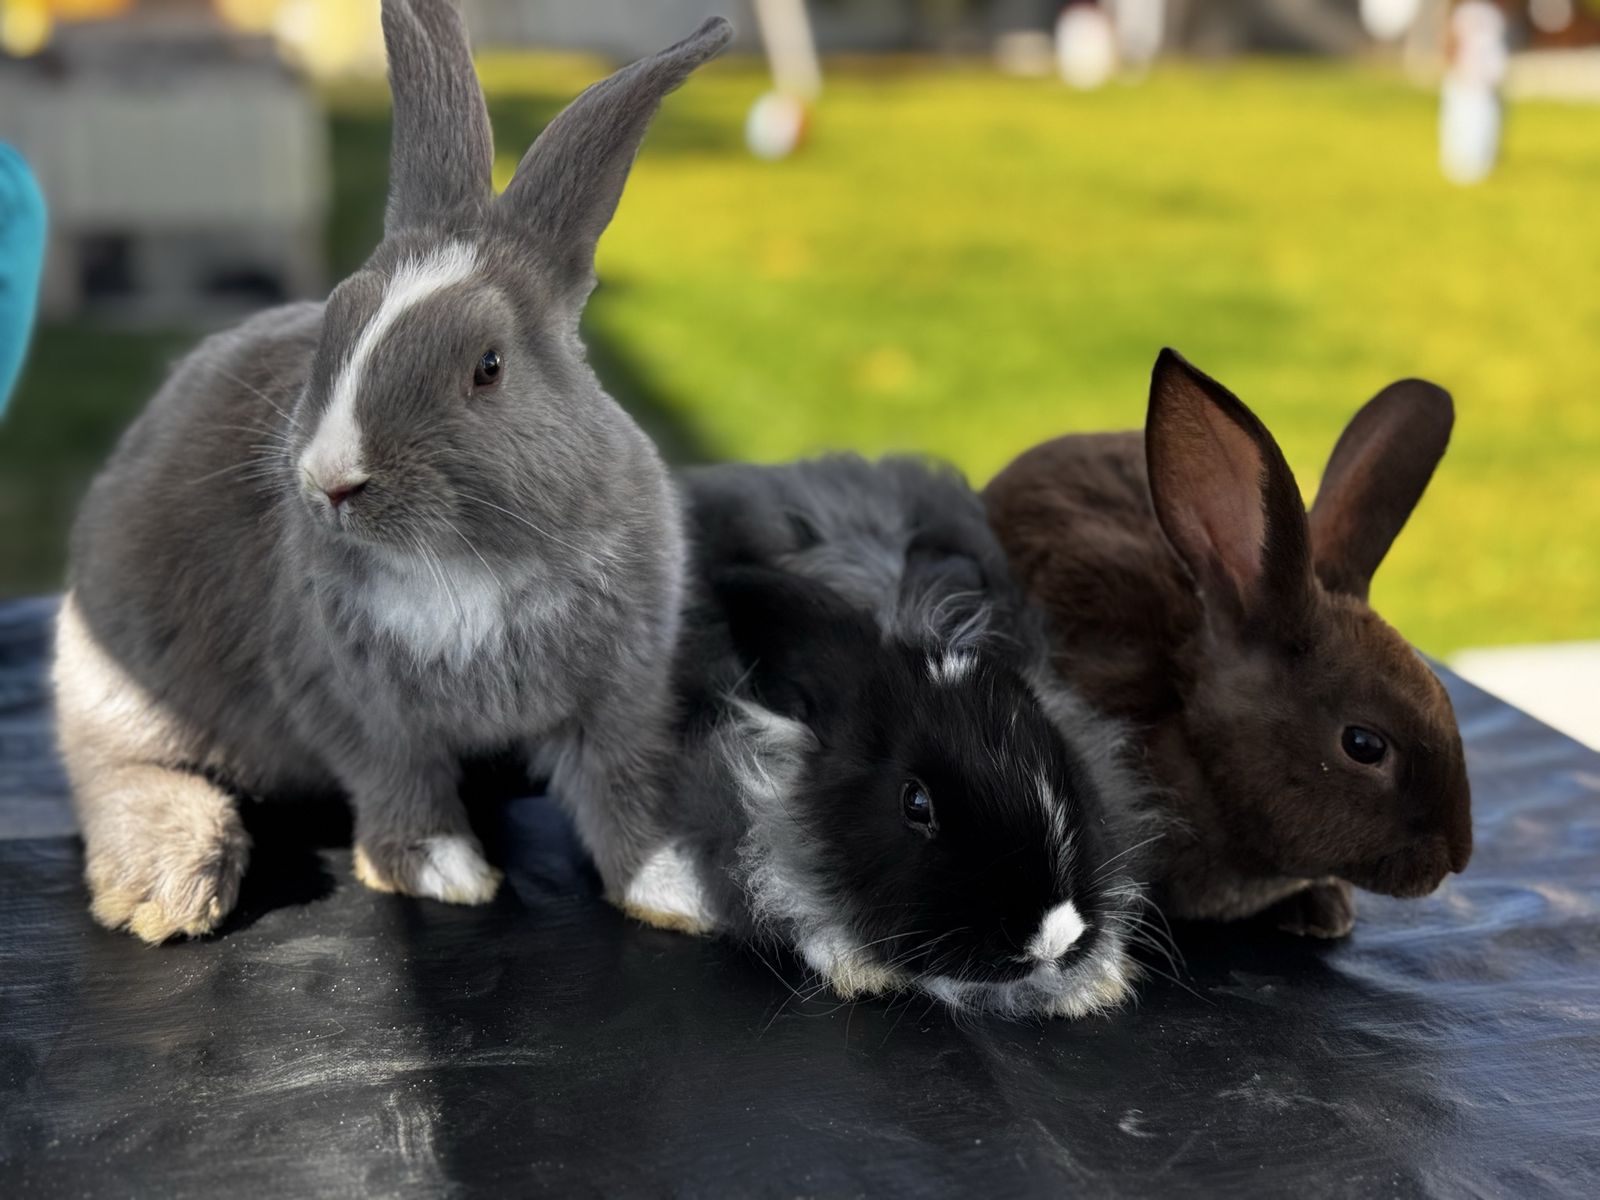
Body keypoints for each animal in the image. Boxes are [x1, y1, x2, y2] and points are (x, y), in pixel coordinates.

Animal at [51, 3, 733, 943]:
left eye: (488, 366)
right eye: (333, 327)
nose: (330, 481)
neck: (472, 566)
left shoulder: (620, 698)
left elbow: (620, 791)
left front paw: (676, 892)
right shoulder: (353, 706)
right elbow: (400, 784)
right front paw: (449, 874)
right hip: (120, 669)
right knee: (109, 765)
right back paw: (171, 884)